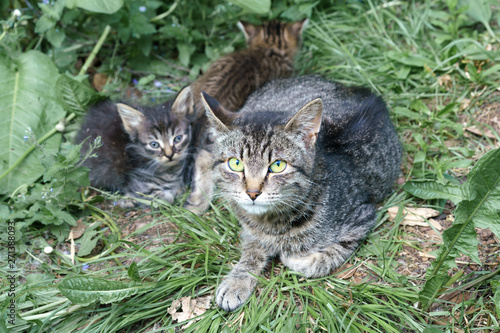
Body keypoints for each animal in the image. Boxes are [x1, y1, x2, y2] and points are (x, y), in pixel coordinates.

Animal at [199, 74, 402, 310]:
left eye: (278, 165)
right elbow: (252, 250)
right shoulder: (250, 230)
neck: (272, 221)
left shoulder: (362, 219)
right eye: (235, 163)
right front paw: (237, 280)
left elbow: (321, 259)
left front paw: (294, 258)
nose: (252, 192)